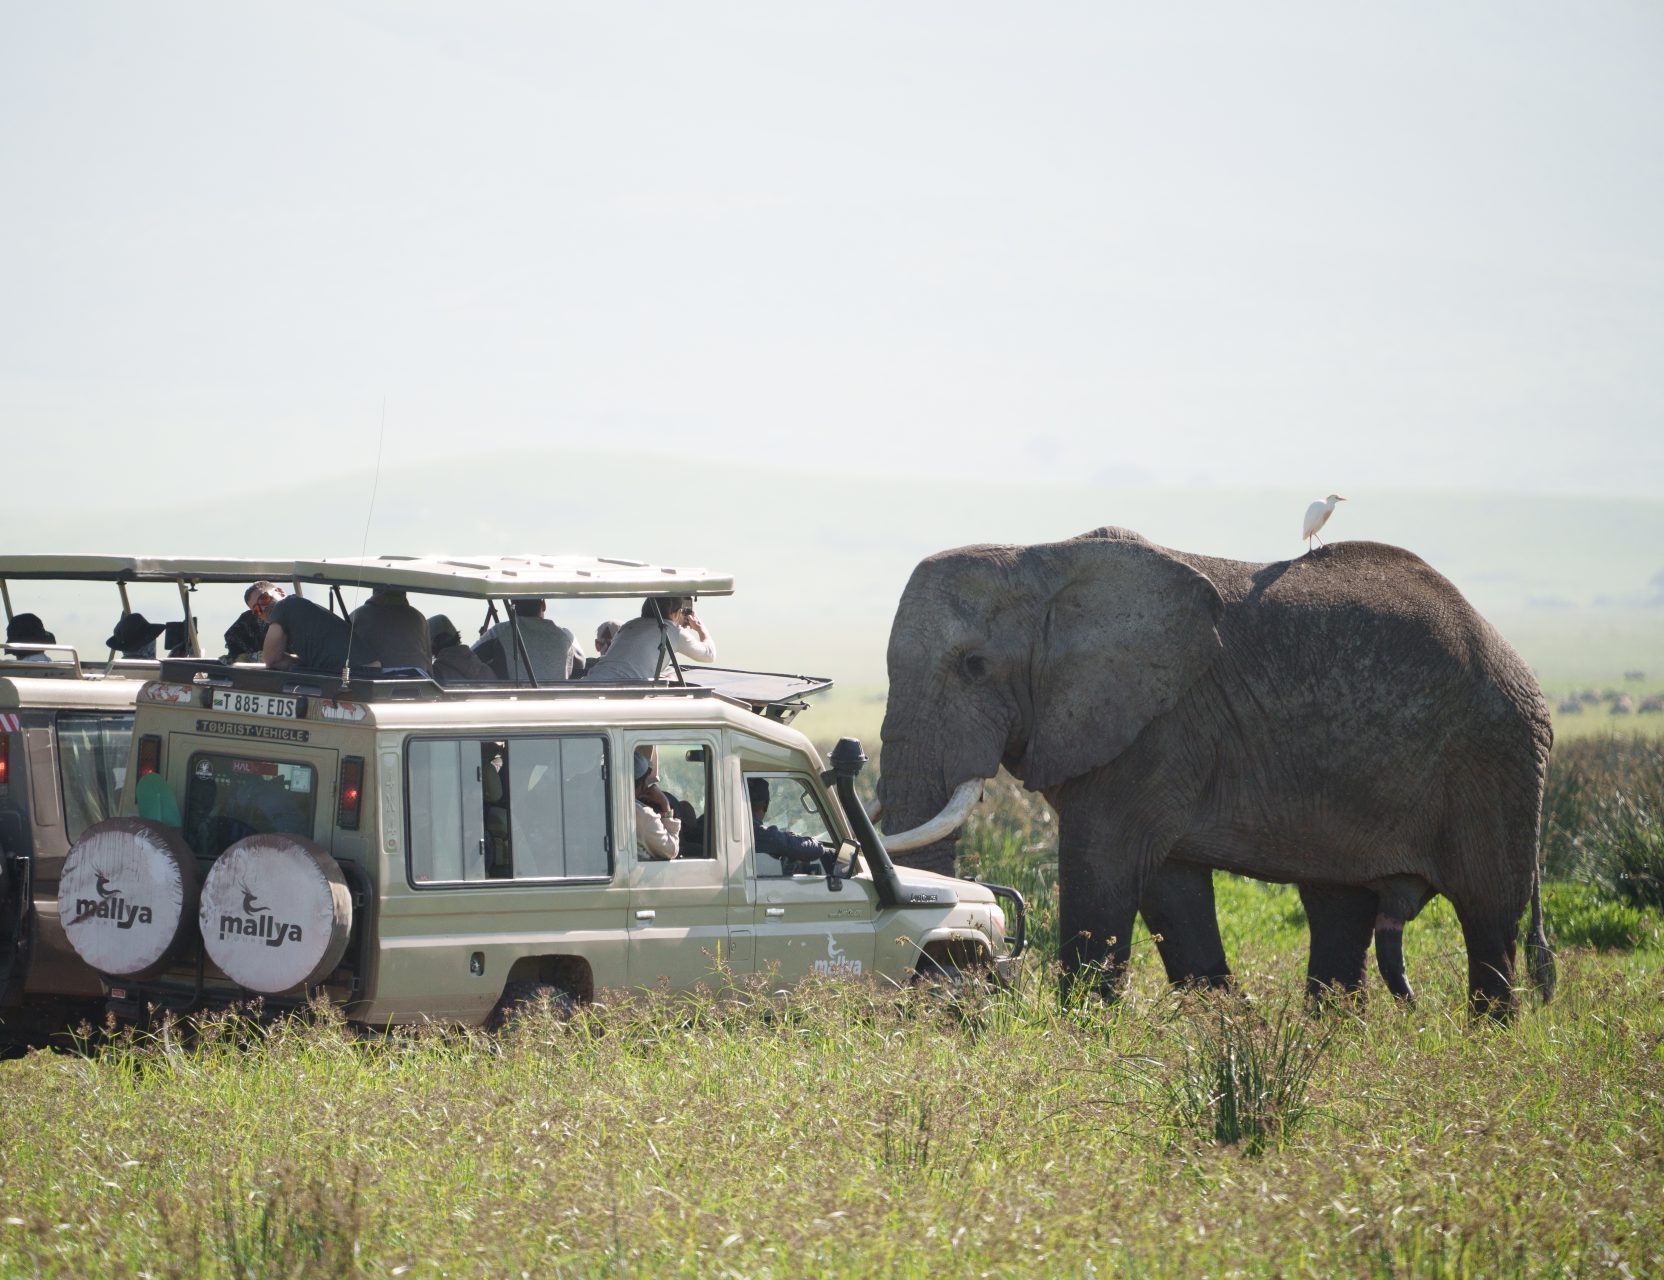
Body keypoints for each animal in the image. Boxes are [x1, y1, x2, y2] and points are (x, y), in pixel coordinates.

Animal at [875, 528, 1555, 1016]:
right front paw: (1229, 1023)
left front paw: (1080, 1031)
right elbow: (1171, 889)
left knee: (1489, 919)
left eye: (973, 666)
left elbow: (1104, 867)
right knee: (1339, 907)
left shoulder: (1160, 725)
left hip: (1497, 763)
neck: (1039, 559)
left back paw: (1487, 1041)